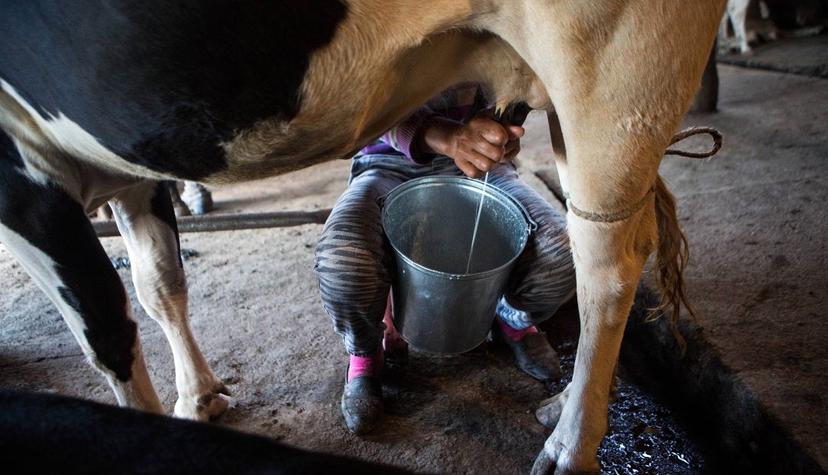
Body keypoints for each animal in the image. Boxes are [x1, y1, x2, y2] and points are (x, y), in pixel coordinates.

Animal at [0, 1, 720, 474]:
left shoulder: (25, 172)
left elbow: (107, 333)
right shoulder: (132, 166)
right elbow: (160, 285)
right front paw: (198, 397)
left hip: (616, 66)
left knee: (607, 265)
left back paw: (570, 446)